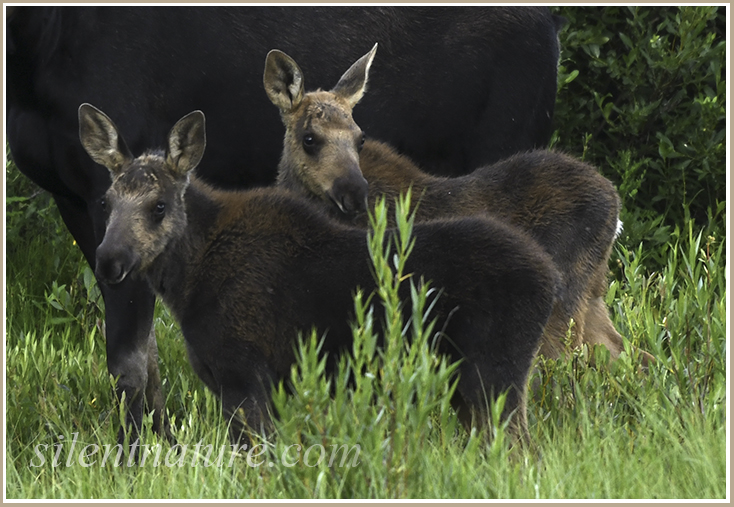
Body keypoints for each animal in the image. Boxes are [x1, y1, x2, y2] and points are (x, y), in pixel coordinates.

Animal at [79, 103, 560, 447]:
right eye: (106, 202)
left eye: (159, 206)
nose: (109, 259)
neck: (186, 285)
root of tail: (551, 279)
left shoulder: (244, 376)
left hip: (494, 377)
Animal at [264, 45, 655, 365]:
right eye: (309, 138)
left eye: (360, 139)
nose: (355, 193)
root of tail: (615, 206)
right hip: (594, 295)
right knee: (625, 355)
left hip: (564, 302)